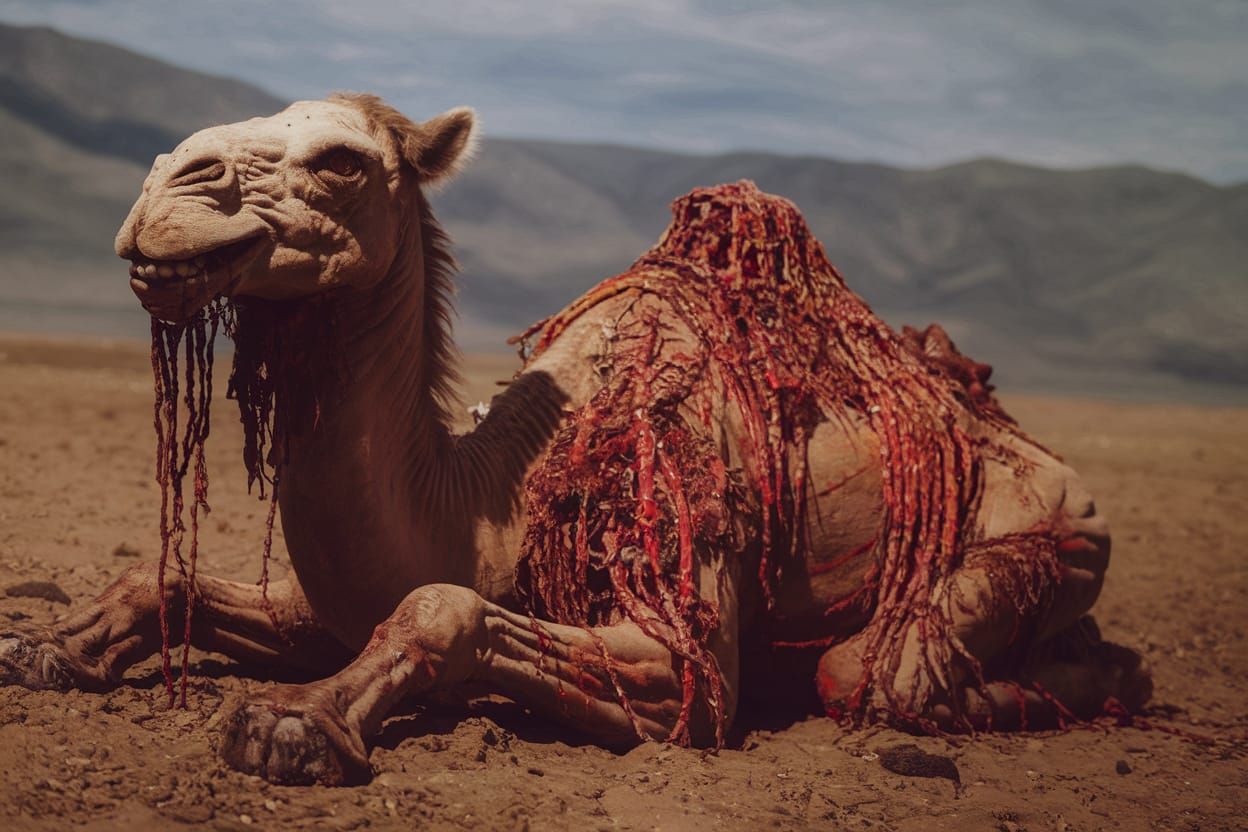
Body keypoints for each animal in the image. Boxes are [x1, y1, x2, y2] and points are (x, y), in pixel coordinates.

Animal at [0, 94, 1152, 786]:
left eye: (339, 160)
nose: (166, 185)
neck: (487, 501)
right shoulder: (328, 602)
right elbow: (168, 581)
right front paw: (45, 648)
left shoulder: (680, 643)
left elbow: (443, 608)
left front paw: (293, 724)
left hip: (1059, 534)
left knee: (875, 671)